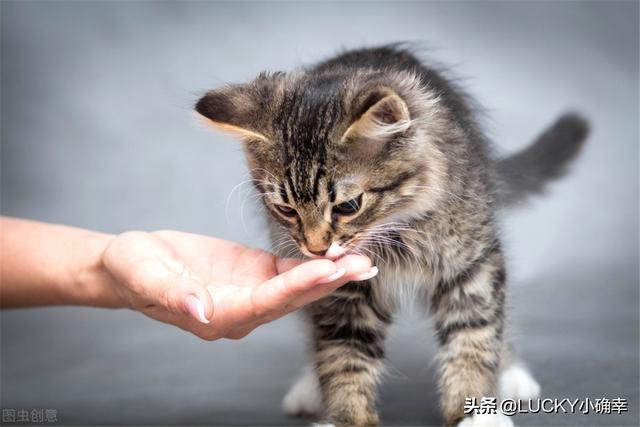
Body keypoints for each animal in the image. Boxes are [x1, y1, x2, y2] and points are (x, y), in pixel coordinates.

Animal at [196, 45, 592, 426]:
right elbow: (342, 356)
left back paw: (511, 375)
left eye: (348, 206)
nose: (317, 249)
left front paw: (475, 412)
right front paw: (346, 417)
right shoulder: (342, 291)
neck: (394, 234)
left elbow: (474, 337)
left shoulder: (471, 265)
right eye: (286, 210)